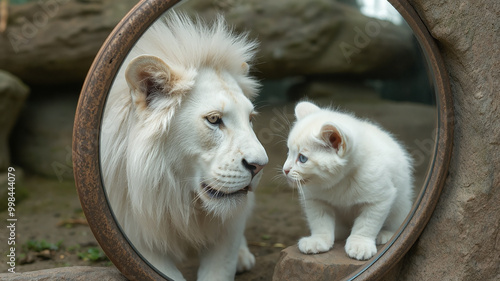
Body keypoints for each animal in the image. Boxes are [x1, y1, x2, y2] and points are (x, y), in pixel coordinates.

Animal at [99, 13, 268, 280]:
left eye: (249, 119)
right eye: (214, 119)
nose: (260, 166)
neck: (173, 192)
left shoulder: (227, 230)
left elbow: (219, 268)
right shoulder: (131, 232)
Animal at [284, 101, 412, 260]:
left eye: (302, 158)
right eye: (288, 152)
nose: (285, 169)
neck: (339, 182)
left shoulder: (380, 198)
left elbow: (367, 224)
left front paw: (360, 244)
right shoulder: (315, 200)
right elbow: (319, 221)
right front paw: (318, 240)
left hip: (402, 204)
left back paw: (387, 234)